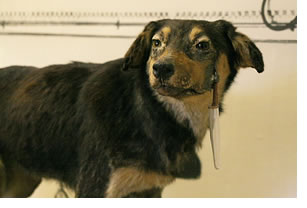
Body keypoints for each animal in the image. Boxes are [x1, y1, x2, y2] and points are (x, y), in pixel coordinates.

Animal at [0, 18, 264, 197]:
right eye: (157, 43)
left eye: (202, 45)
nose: (160, 68)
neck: (146, 110)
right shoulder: (95, 188)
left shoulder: (148, 189)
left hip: (19, 183)